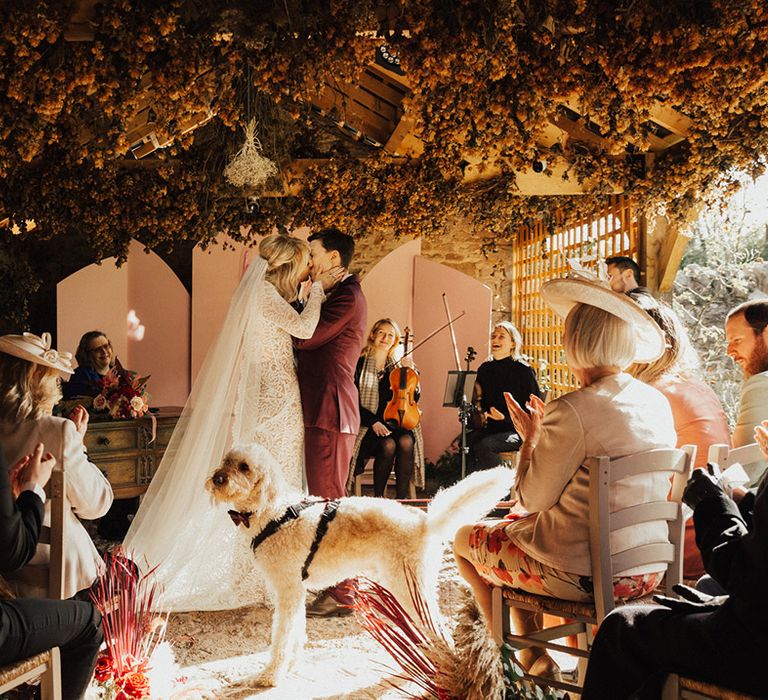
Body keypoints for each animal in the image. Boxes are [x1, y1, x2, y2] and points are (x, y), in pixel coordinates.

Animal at [207, 446, 512, 688]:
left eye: (244, 467)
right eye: (226, 460)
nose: (217, 478)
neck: (273, 512)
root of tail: (425, 522)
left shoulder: (287, 592)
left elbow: (281, 638)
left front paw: (270, 675)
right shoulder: (295, 593)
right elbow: (295, 632)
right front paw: (291, 665)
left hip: (412, 591)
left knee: (439, 631)